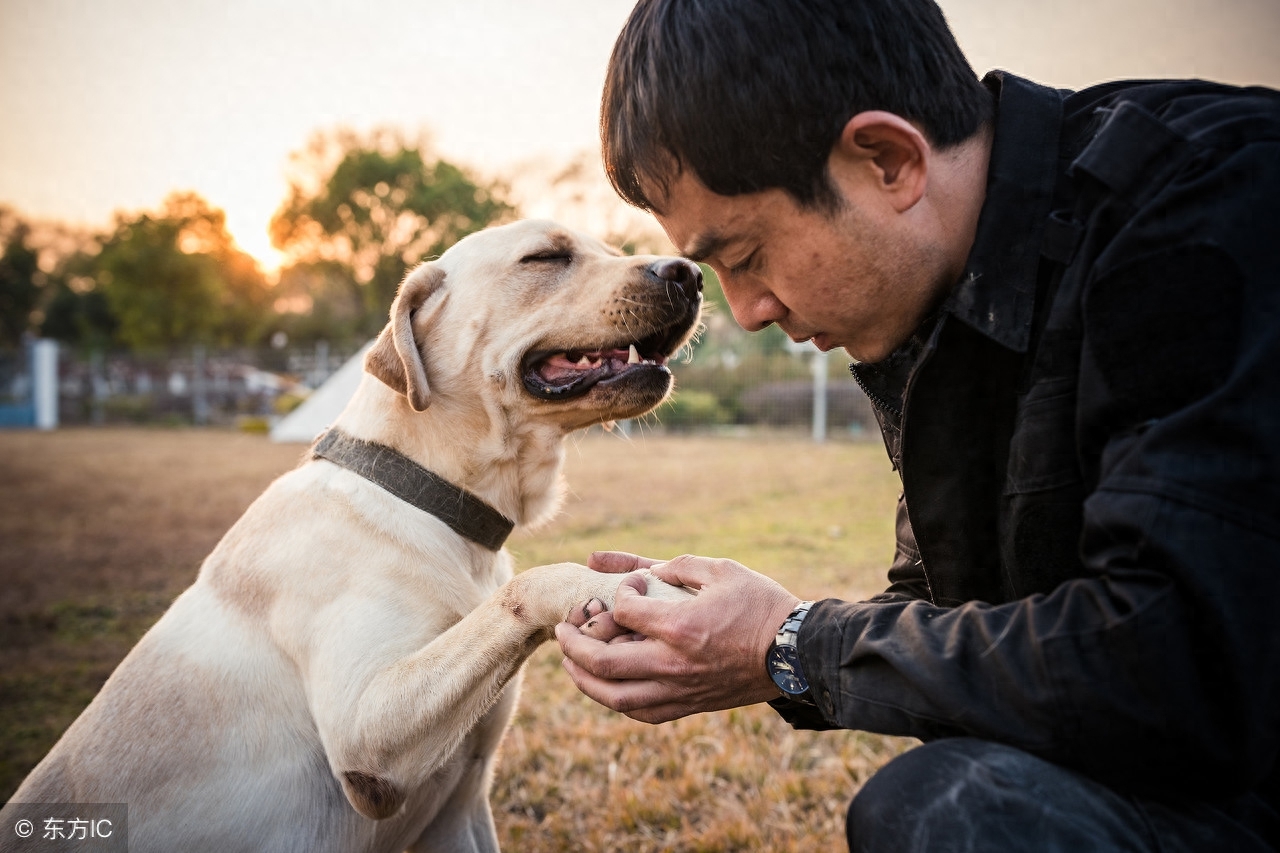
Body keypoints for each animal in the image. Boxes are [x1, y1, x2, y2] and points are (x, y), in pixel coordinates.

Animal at [7, 220, 701, 850]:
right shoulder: (368, 745)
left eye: (612, 249)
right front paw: (635, 589)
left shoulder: (461, 812)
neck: (431, 502)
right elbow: (533, 583)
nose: (689, 273)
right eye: (547, 257)